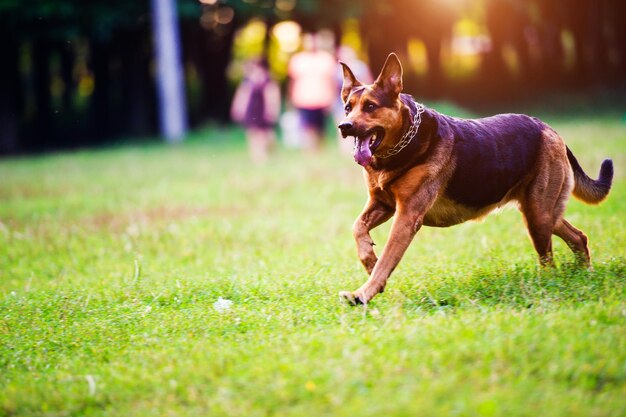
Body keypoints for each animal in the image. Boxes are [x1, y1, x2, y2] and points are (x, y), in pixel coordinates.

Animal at [334, 53, 612, 304]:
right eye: (348, 108)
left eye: (371, 106)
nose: (344, 126)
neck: (403, 144)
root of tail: (549, 129)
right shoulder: (382, 204)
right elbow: (357, 228)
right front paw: (368, 259)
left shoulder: (407, 216)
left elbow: (387, 260)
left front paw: (363, 293)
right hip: (540, 212)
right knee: (578, 237)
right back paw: (585, 274)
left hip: (538, 215)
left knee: (549, 261)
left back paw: (550, 285)